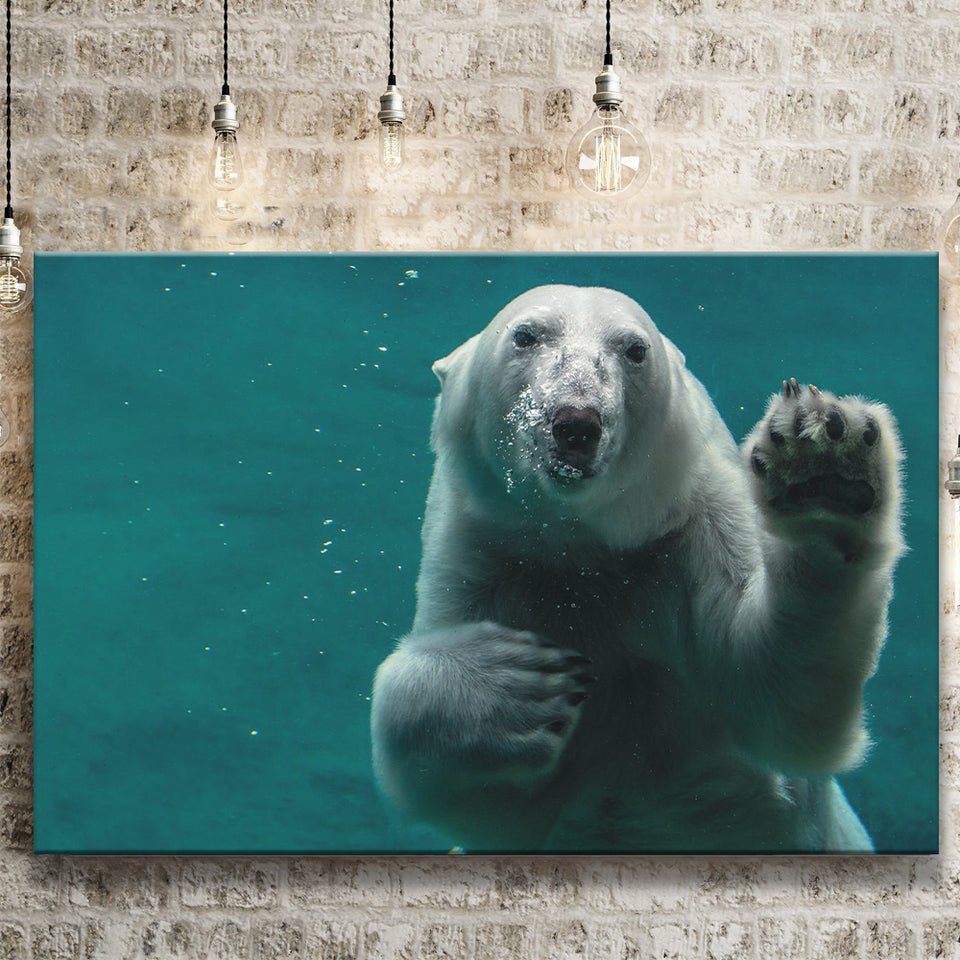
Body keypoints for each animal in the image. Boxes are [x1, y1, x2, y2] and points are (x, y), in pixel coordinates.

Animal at [370, 284, 904, 853]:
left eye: (634, 349)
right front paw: (520, 684)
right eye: (526, 335)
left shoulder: (694, 522)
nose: (576, 423)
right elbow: (476, 797)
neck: (585, 543)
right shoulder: (485, 550)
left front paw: (824, 467)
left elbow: (776, 693)